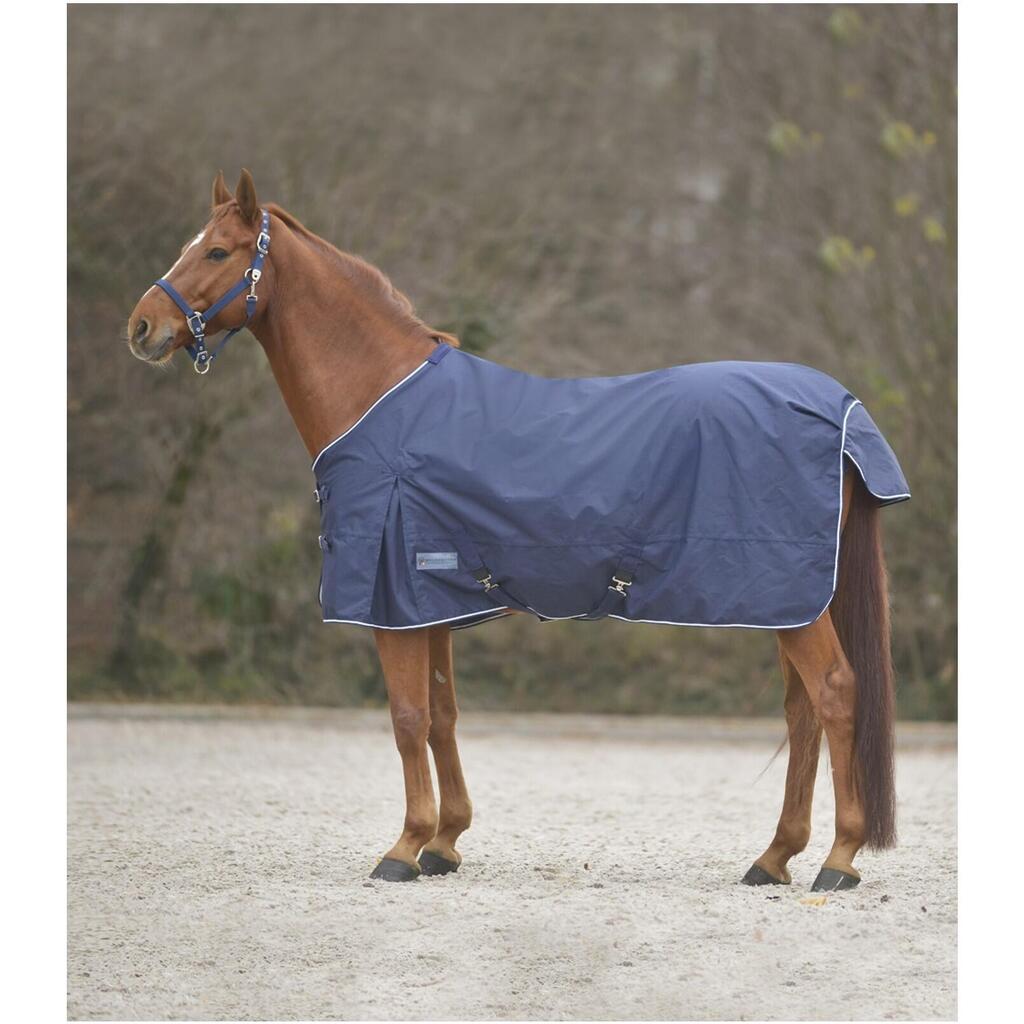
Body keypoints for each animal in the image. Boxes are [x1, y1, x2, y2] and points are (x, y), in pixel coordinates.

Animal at [126, 169, 903, 891]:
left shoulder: (392, 600)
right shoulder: (429, 600)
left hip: (791, 597)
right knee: (801, 713)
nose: (141, 328)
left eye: (217, 250)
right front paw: (444, 842)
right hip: (789, 602)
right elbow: (442, 714)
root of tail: (839, 409)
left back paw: (838, 860)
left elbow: (407, 717)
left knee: (835, 694)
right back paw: (773, 858)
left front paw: (403, 847)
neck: (381, 401)